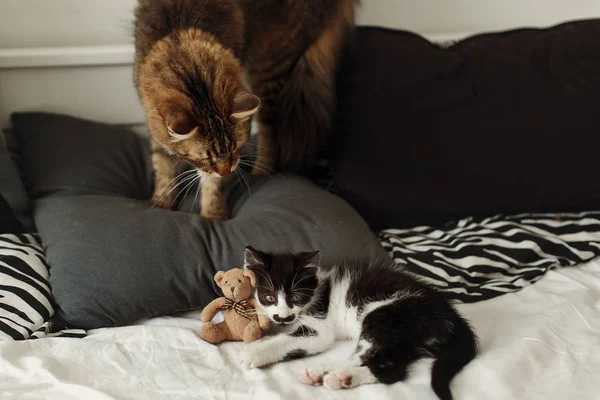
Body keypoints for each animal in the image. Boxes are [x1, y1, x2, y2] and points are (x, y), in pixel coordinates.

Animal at [134, 0, 354, 220]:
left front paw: (213, 216)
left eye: (236, 147)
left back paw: (259, 173)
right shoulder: (155, 127)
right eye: (204, 157)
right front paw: (161, 204)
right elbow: (163, 169)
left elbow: (213, 186)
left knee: (270, 132)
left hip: (267, 68)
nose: (226, 171)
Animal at [239, 247, 478, 400]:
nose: (283, 316)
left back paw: (332, 373)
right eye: (269, 297)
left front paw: (252, 353)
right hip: (407, 337)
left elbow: (292, 339)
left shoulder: (320, 326)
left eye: (296, 298)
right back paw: (341, 376)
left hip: (386, 314)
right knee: (393, 368)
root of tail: (451, 315)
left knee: (369, 355)